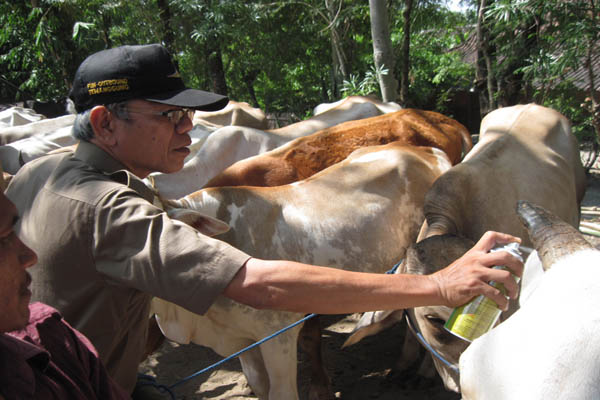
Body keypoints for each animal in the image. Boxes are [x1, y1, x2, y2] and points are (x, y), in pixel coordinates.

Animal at [150, 142, 450, 398]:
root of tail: (424, 149)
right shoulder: (244, 342)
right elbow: (259, 386)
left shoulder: (278, 335)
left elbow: (281, 392)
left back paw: (422, 372)